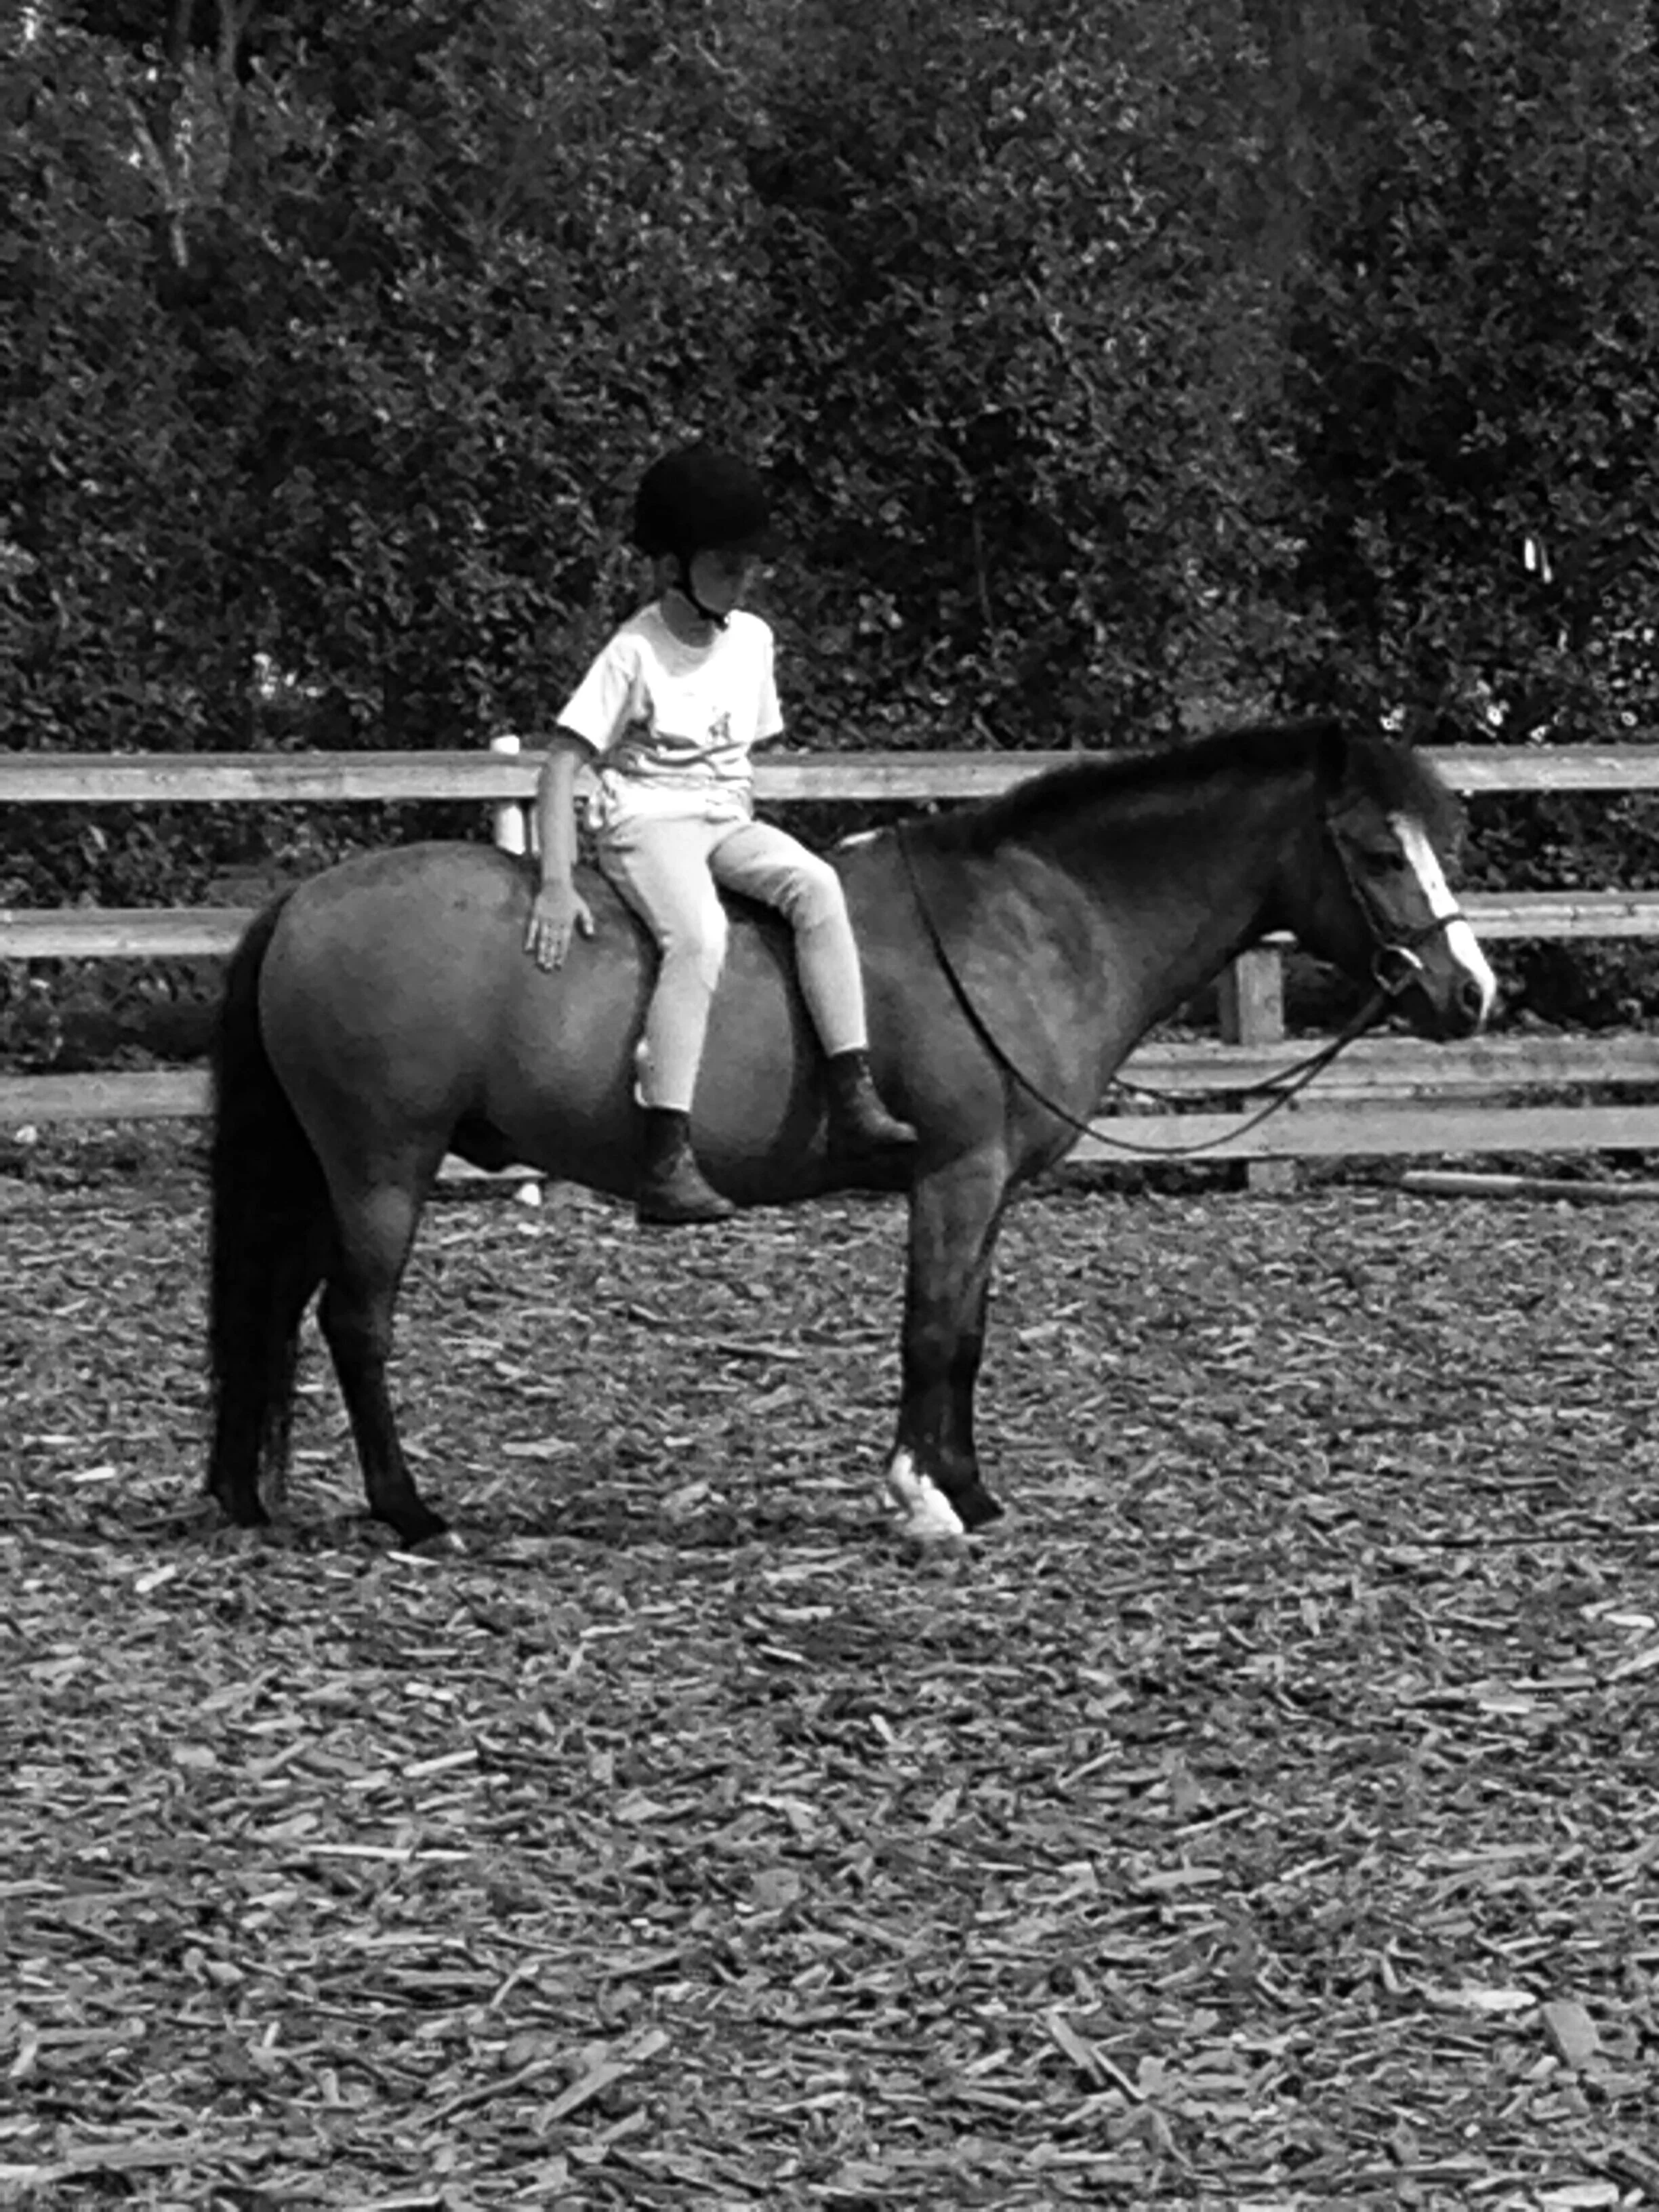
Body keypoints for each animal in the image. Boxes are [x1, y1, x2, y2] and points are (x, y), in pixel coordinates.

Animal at [206, 718, 1495, 1550]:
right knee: (356, 1323)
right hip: (383, 1167)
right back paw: (409, 1509)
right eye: (1376, 851)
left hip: (330, 1171)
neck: (1030, 922)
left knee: (281, 1310)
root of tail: (304, 901)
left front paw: (969, 1490)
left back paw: (250, 1493)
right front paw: (922, 1500)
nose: (1471, 991)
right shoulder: (955, 1177)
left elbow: (965, 1335)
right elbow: (928, 1331)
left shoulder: (989, 1189)